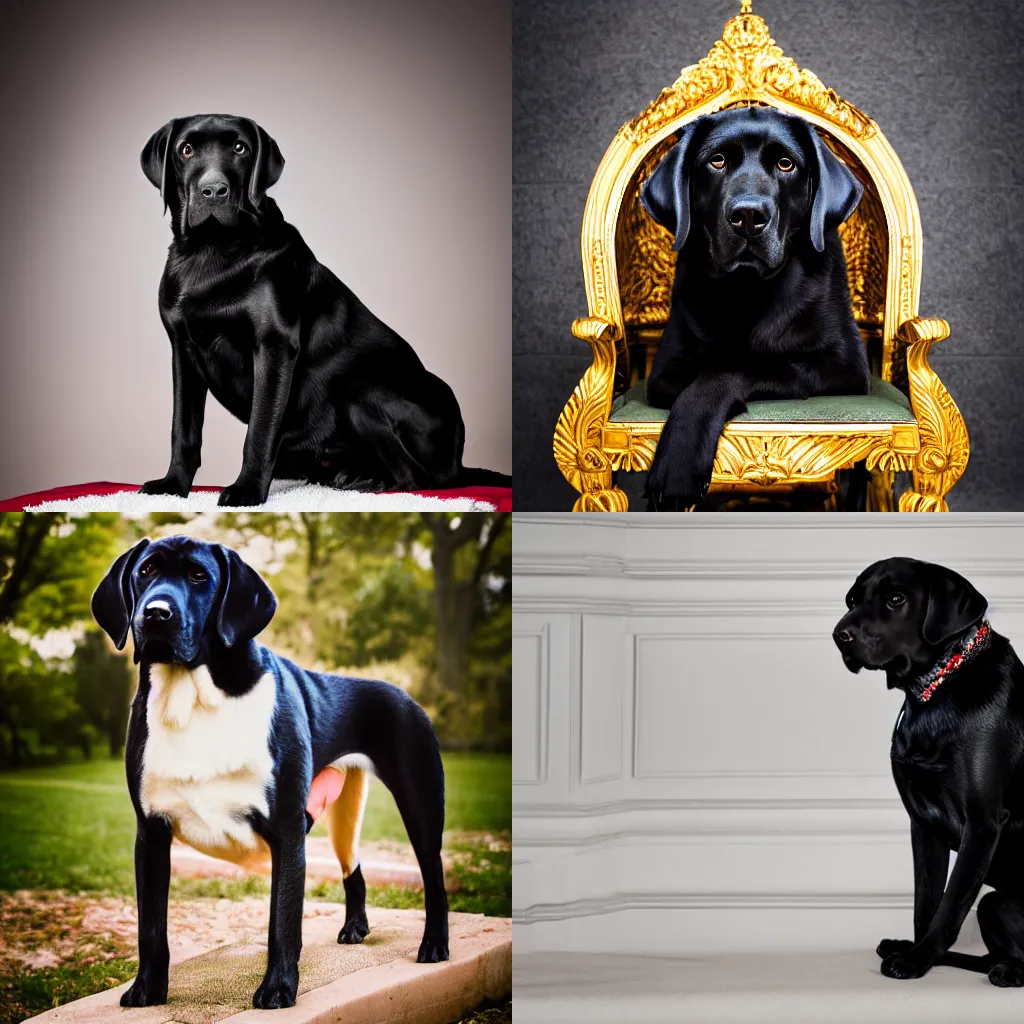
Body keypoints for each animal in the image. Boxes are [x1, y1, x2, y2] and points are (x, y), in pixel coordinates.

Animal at [91, 536, 448, 1007]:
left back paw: (435, 946)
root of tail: (406, 695)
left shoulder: (286, 828)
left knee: (434, 875)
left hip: (419, 802)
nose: (155, 613)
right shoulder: (151, 831)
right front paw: (147, 990)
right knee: (353, 868)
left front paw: (277, 989)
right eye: (146, 571)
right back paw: (355, 928)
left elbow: (282, 920)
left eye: (199, 576)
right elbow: (150, 927)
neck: (194, 697)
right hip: (344, 815)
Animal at [138, 113, 505, 507]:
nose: (213, 190)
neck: (212, 251)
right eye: (186, 150)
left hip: (360, 390)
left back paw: (369, 482)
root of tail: (459, 461)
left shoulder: (274, 346)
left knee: (417, 478)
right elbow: (183, 430)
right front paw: (172, 485)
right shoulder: (184, 351)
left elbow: (259, 430)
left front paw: (247, 490)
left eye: (240, 148)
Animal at [643, 105, 868, 512]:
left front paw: (678, 464)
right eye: (716, 160)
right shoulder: (665, 370)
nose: (748, 215)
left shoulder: (845, 368)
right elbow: (704, 370)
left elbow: (730, 368)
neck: (748, 288)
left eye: (785, 164)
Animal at [835, 557, 1024, 987]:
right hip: (995, 904)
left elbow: (951, 902)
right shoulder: (923, 822)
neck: (935, 691)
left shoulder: (983, 822)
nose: (839, 636)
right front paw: (916, 952)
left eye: (895, 599)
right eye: (852, 600)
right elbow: (925, 902)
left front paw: (917, 959)